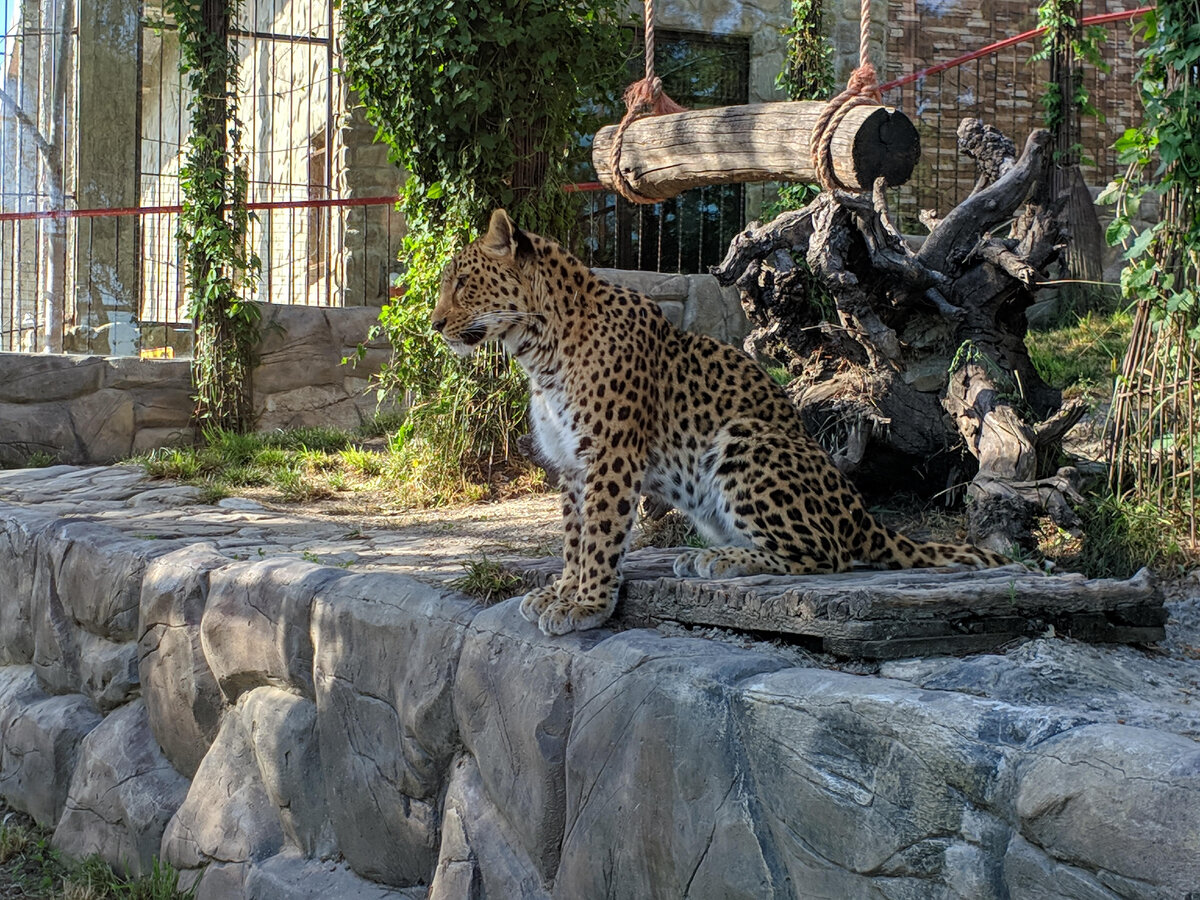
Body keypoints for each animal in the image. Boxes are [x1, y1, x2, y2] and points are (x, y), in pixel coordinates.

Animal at [427, 207, 1008, 638]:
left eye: (463, 283)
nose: (433, 324)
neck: (537, 350)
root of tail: (864, 518)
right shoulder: (572, 465)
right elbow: (574, 536)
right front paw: (563, 591)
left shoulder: (611, 454)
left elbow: (600, 533)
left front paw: (586, 604)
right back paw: (709, 556)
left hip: (746, 440)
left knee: (831, 555)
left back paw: (724, 561)